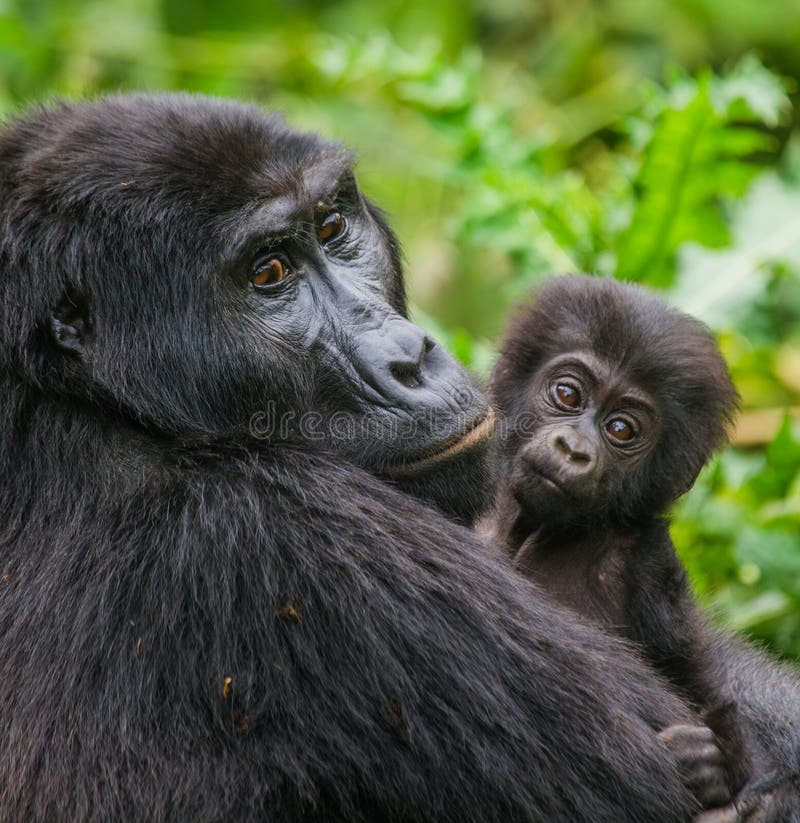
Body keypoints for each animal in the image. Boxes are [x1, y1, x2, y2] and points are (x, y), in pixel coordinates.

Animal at [482, 276, 752, 800]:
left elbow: (695, 679)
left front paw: (716, 765)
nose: (575, 449)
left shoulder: (648, 564)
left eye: (621, 429)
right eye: (567, 394)